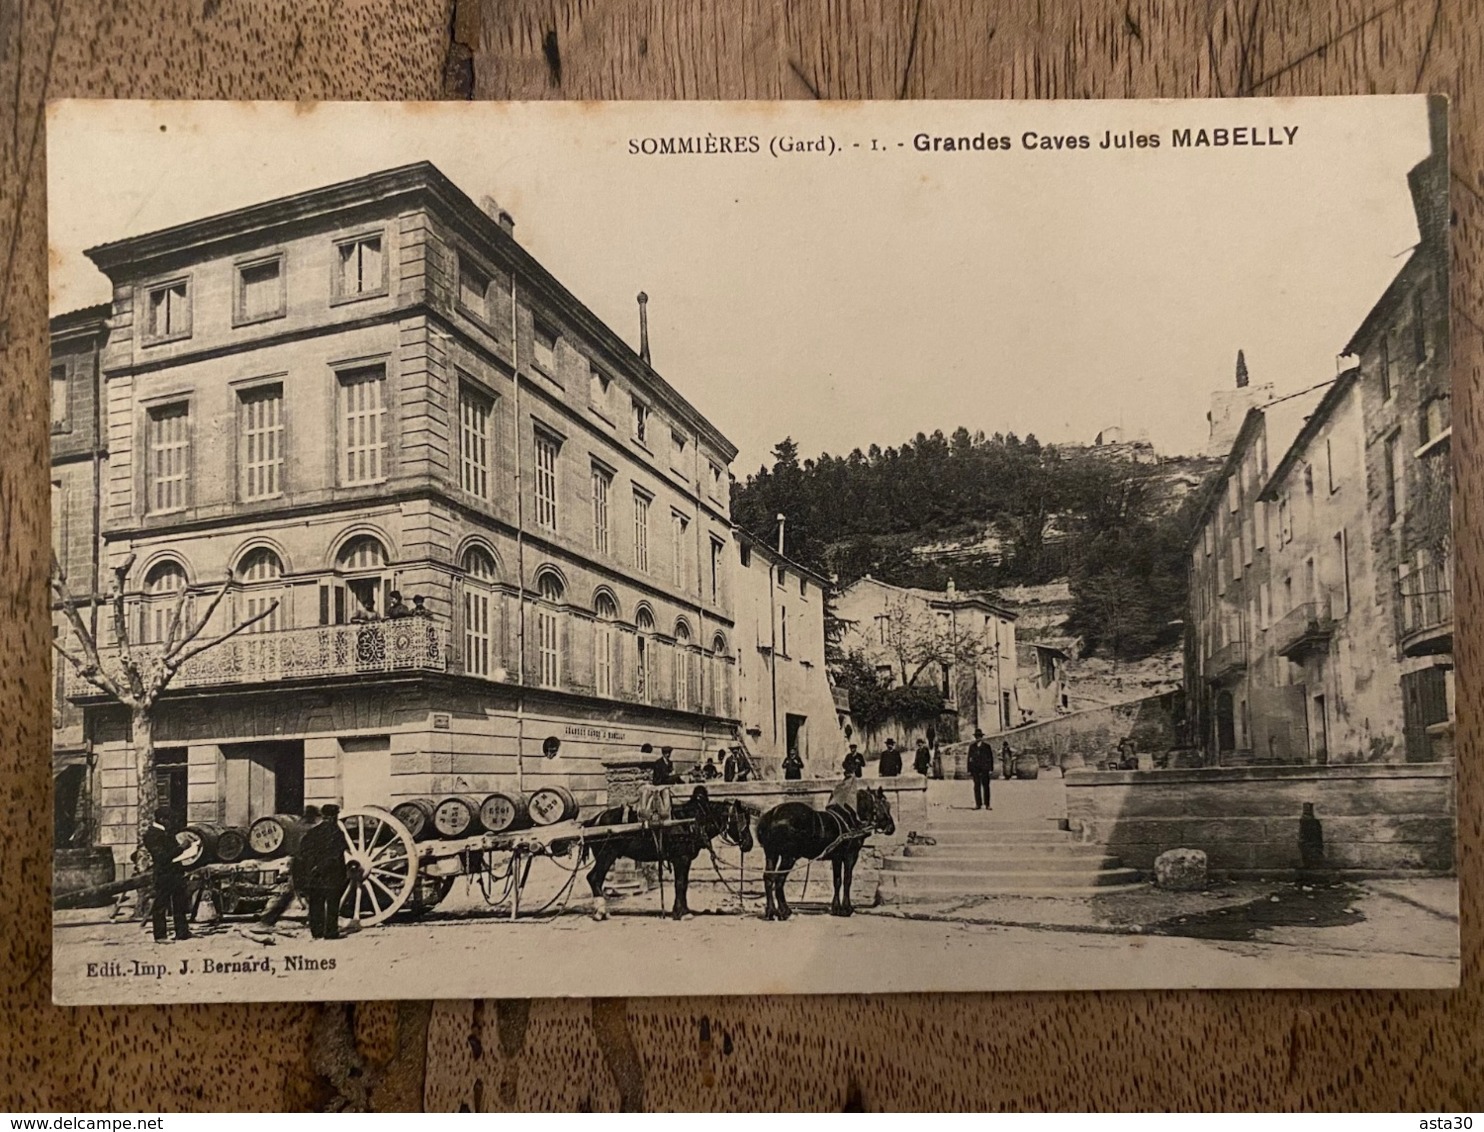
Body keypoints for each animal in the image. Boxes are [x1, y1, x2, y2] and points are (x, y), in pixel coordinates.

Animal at [581, 789, 753, 919]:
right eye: (740, 820)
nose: (749, 844)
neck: (692, 821)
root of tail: (593, 820)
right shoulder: (681, 859)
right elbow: (680, 884)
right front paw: (681, 913)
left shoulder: (685, 860)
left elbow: (683, 884)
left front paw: (682, 910)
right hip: (606, 855)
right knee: (594, 878)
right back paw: (601, 912)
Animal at [753, 789, 890, 919]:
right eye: (885, 805)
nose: (891, 827)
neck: (850, 822)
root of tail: (773, 814)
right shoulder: (850, 856)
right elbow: (846, 880)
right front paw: (846, 909)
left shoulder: (836, 858)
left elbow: (837, 880)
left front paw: (836, 908)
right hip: (788, 857)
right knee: (779, 879)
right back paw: (784, 911)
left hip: (772, 854)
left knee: (768, 878)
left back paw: (771, 911)